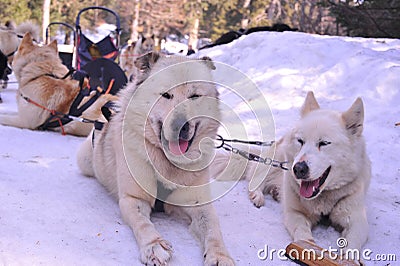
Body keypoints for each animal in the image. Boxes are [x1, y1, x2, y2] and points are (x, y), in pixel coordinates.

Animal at [77, 51, 234, 264]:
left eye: (194, 96)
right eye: (166, 94)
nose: (181, 125)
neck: (168, 163)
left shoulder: (198, 203)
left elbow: (213, 228)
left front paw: (219, 255)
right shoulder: (132, 199)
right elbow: (143, 223)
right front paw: (154, 245)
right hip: (85, 161)